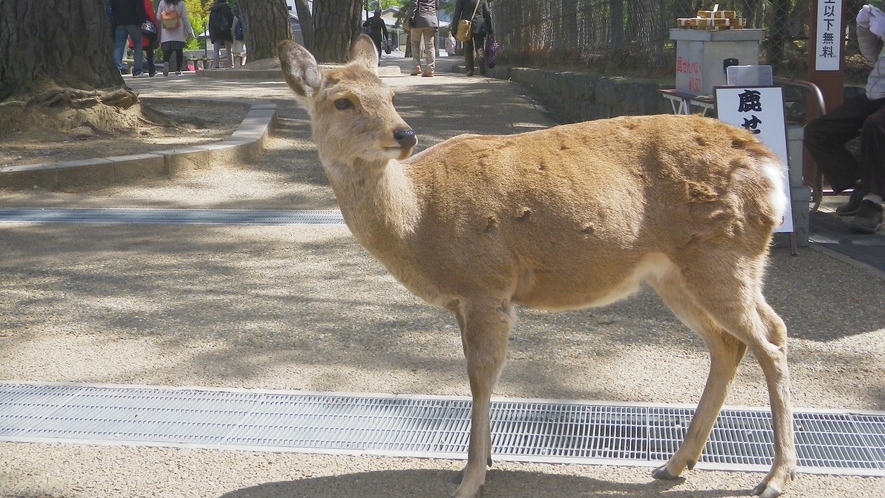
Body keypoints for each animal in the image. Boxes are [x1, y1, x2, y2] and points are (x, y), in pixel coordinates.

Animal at [280, 37, 796, 498]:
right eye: (343, 101)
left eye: (392, 96)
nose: (404, 134)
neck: (418, 220)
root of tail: (772, 169)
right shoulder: (463, 299)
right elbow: (476, 373)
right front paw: (479, 462)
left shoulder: (486, 283)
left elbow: (481, 376)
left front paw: (471, 479)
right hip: (680, 273)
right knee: (734, 341)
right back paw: (674, 464)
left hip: (721, 255)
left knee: (770, 340)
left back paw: (773, 479)